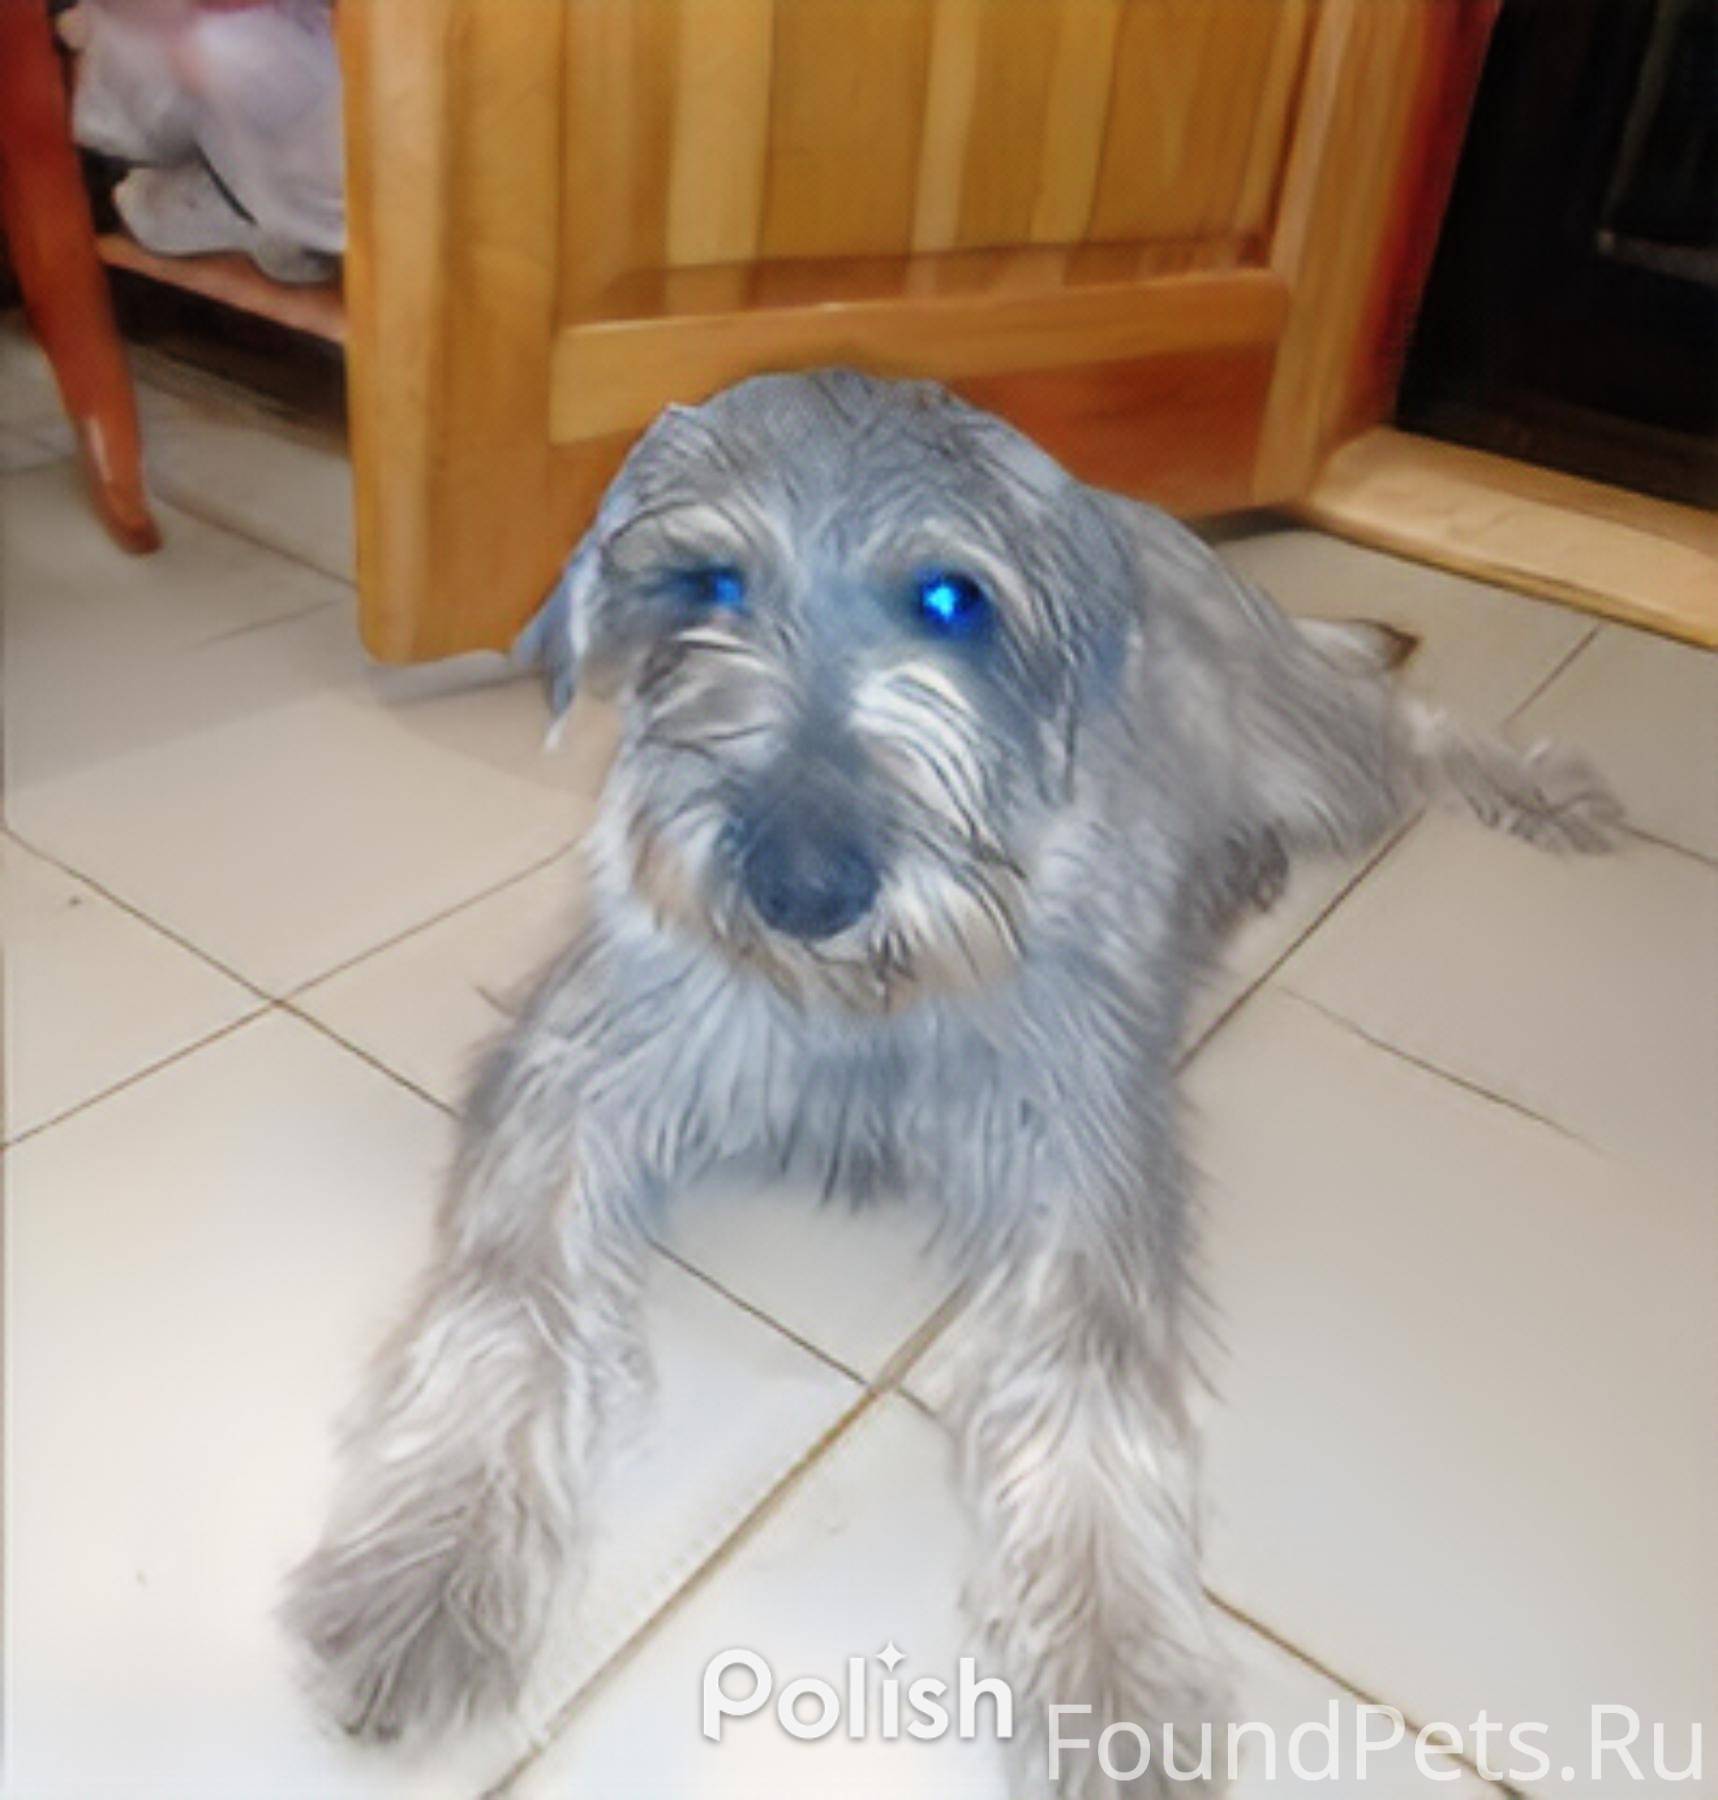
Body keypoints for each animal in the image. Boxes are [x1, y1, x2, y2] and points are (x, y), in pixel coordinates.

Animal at [283, 369, 1617, 1796]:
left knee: (1399, 732)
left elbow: (1081, 1383)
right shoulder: (579, 1069)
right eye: (707, 583)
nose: (801, 885)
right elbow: (510, 1299)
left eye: (949, 600)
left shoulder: (1077, 1145)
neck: (851, 1011)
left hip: (1313, 756)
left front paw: (1113, 1667)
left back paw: (1540, 786)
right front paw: (430, 1560)